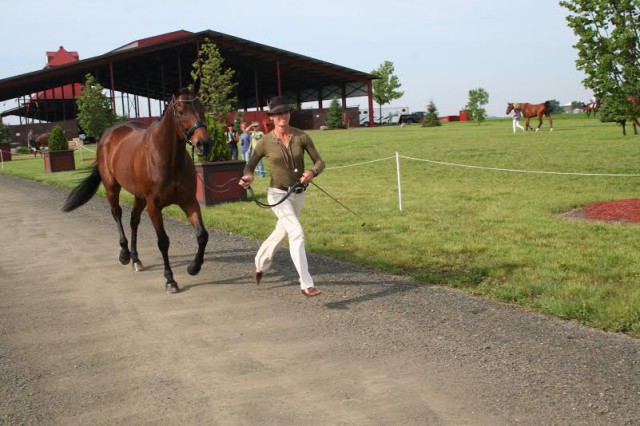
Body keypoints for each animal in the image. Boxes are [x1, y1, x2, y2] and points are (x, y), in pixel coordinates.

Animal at [62, 89, 212, 292]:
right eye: (181, 111)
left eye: (202, 108)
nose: (204, 144)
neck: (168, 159)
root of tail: (109, 133)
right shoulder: (154, 206)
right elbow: (163, 241)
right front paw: (170, 280)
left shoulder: (189, 202)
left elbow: (202, 235)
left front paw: (193, 267)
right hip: (112, 188)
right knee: (117, 214)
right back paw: (125, 254)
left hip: (139, 196)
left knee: (133, 220)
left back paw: (135, 259)